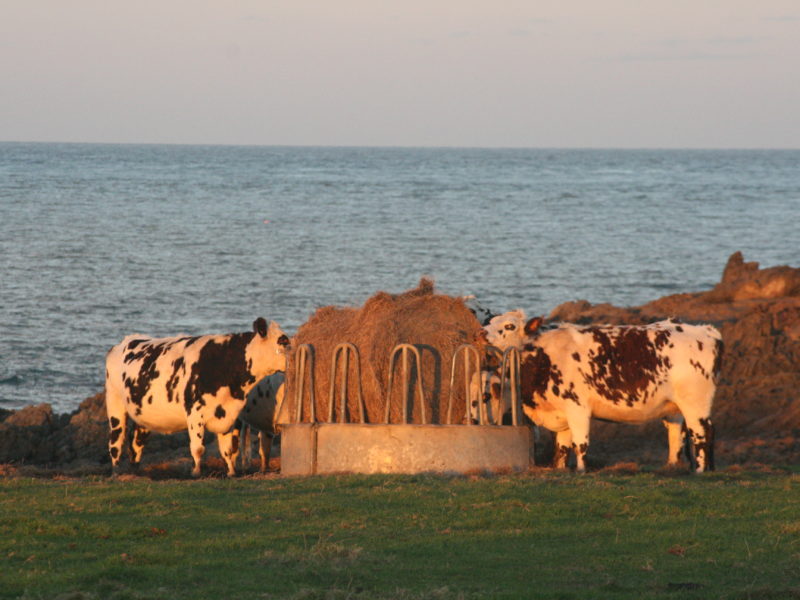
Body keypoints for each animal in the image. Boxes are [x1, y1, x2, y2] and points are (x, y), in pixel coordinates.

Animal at [104, 316, 290, 476]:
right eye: (283, 341)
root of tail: (125, 341)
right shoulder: (194, 413)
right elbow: (198, 448)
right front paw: (196, 472)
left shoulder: (227, 415)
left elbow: (228, 449)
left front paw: (231, 472)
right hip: (115, 403)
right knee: (115, 442)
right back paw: (116, 472)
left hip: (143, 412)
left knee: (136, 441)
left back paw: (135, 472)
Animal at [484, 312, 720, 472]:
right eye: (489, 322)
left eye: (509, 325)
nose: (481, 333)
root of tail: (707, 331)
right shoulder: (560, 413)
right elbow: (561, 448)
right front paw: (561, 469)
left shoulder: (577, 408)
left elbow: (580, 443)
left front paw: (581, 471)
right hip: (676, 409)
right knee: (677, 435)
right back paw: (673, 467)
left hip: (696, 404)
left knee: (702, 434)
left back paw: (700, 470)